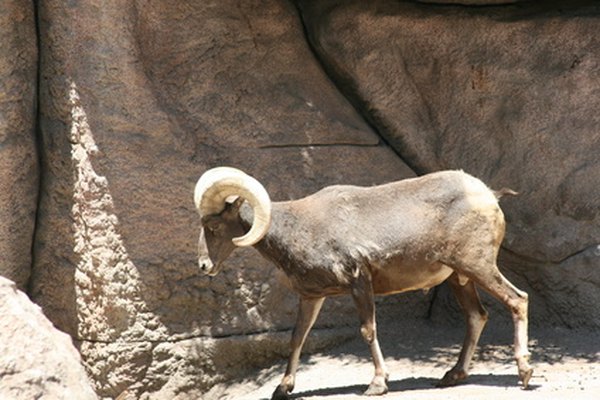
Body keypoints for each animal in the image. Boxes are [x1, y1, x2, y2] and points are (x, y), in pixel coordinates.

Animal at [195, 166, 532, 396]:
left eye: (213, 226)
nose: (203, 266)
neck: (298, 229)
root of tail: (488, 195)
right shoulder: (312, 297)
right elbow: (297, 337)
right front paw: (283, 388)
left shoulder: (359, 283)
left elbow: (368, 331)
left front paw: (377, 384)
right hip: (460, 279)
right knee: (477, 316)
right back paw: (452, 375)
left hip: (478, 266)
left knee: (517, 300)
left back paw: (525, 372)